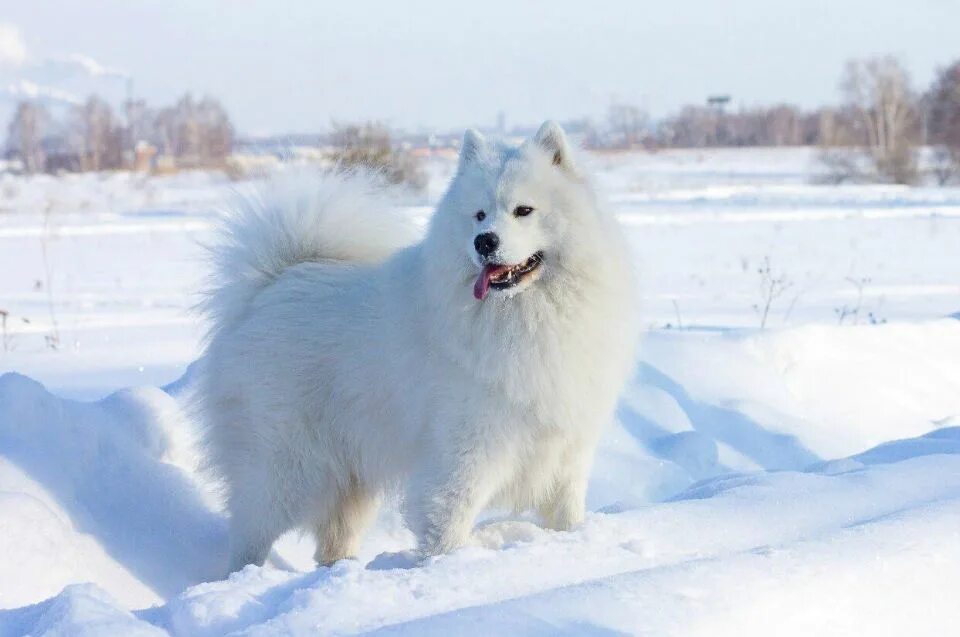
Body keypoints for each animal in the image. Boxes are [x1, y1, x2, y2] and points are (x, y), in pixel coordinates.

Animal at [197, 120, 636, 572]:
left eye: (523, 211)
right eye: (479, 214)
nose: (484, 241)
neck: (525, 315)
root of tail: (273, 283)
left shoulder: (566, 450)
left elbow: (567, 513)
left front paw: (573, 544)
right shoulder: (463, 453)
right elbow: (449, 519)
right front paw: (447, 566)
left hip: (349, 475)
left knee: (332, 538)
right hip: (286, 467)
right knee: (249, 531)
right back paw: (244, 576)